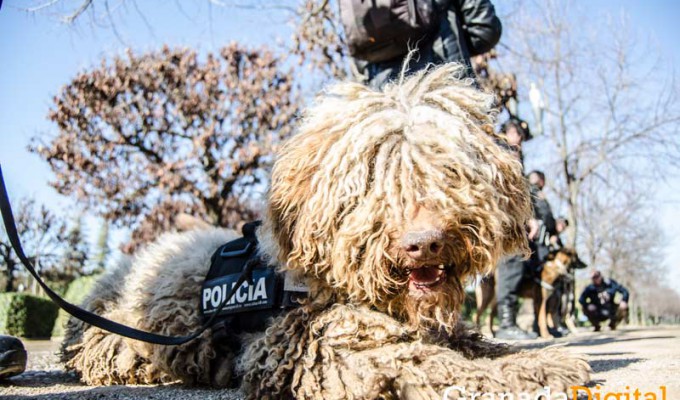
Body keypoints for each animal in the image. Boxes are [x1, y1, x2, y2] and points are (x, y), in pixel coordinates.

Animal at [62, 64, 588, 398]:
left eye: (445, 172)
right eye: (372, 180)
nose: (424, 243)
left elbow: (477, 344)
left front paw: (531, 359)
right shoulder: (319, 345)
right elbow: (427, 362)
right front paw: (529, 370)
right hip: (124, 343)